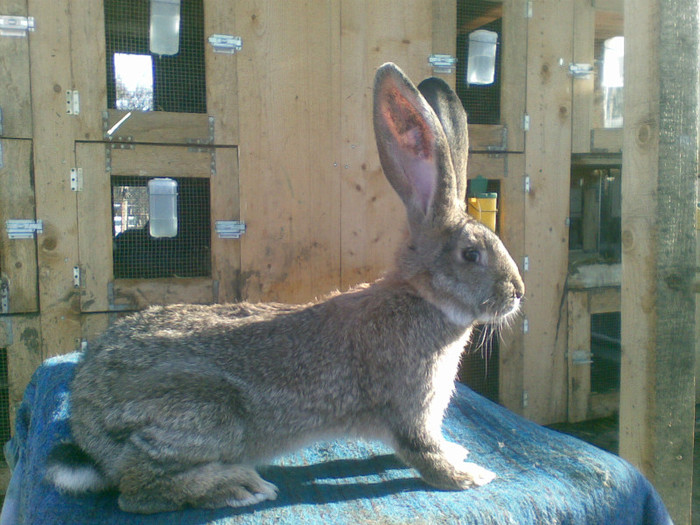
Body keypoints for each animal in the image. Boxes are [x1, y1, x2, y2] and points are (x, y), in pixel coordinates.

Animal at [45, 63, 524, 512]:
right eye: (471, 254)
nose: (518, 292)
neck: (421, 298)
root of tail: (84, 421)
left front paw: (459, 451)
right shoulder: (412, 411)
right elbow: (425, 455)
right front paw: (469, 475)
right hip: (205, 414)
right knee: (137, 490)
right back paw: (237, 485)